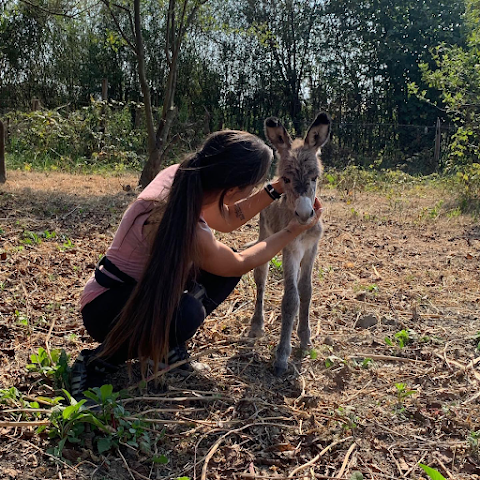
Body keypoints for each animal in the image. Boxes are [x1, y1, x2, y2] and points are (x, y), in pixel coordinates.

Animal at [249, 111, 332, 376]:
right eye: (286, 178)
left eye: (315, 178)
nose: (305, 214)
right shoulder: (291, 250)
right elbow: (290, 300)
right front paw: (282, 356)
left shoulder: (311, 249)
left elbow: (306, 291)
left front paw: (305, 339)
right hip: (265, 238)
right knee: (261, 277)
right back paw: (257, 325)